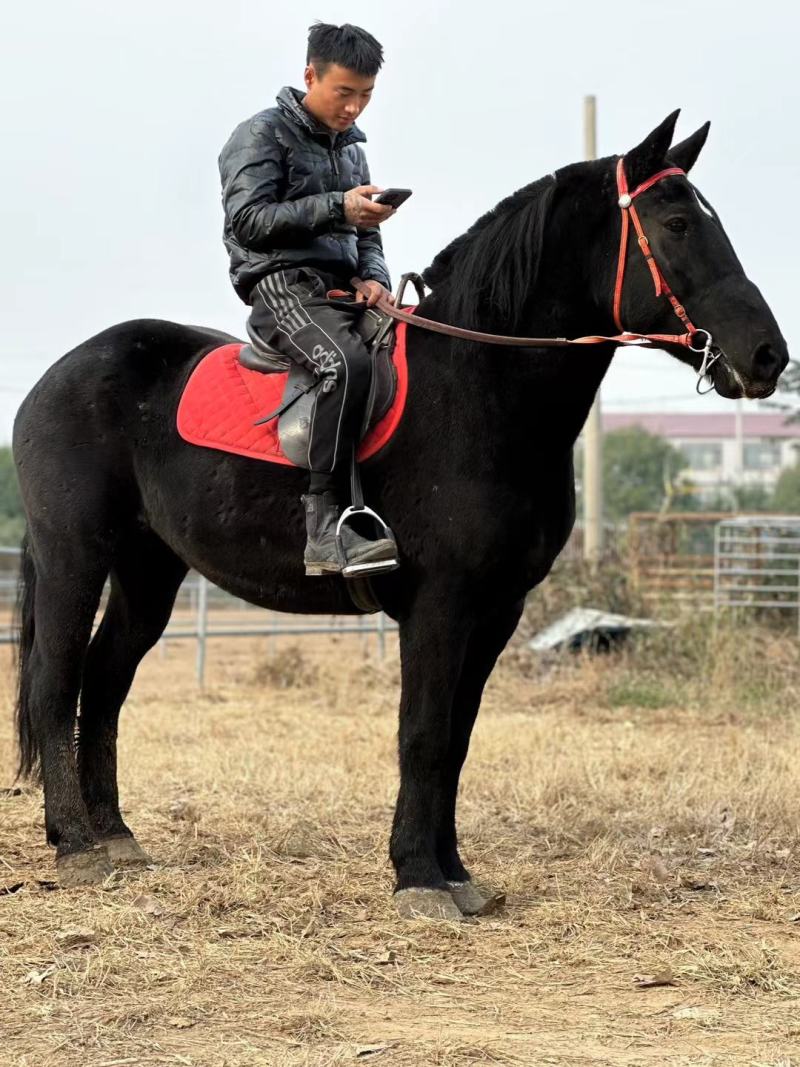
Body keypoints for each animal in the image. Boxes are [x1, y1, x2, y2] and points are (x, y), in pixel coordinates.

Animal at [12, 111, 788, 918]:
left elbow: (456, 740)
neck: (481, 389)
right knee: (54, 683)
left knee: (103, 682)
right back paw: (76, 844)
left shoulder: (497, 609)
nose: (768, 356)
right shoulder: (440, 605)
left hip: (149, 571)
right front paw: (418, 875)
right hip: (75, 556)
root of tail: (57, 376)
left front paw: (455, 871)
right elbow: (423, 733)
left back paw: (115, 837)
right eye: (676, 224)